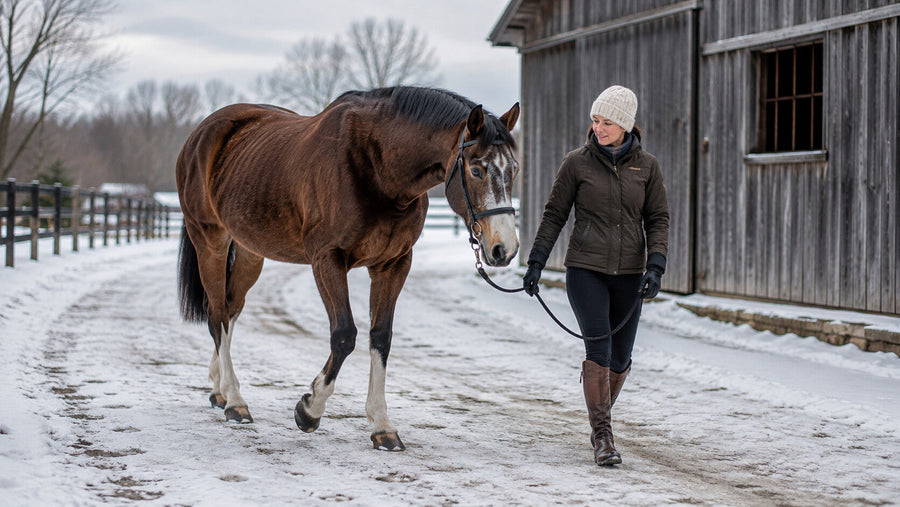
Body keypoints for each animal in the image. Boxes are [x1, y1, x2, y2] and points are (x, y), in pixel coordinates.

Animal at [176, 86, 520, 451]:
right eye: (477, 170)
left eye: (514, 170)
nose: (504, 249)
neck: (377, 168)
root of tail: (201, 134)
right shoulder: (327, 259)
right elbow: (344, 335)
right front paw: (309, 410)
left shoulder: (393, 264)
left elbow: (381, 337)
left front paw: (382, 426)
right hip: (210, 241)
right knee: (217, 314)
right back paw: (236, 402)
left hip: (249, 251)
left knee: (230, 309)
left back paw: (220, 391)